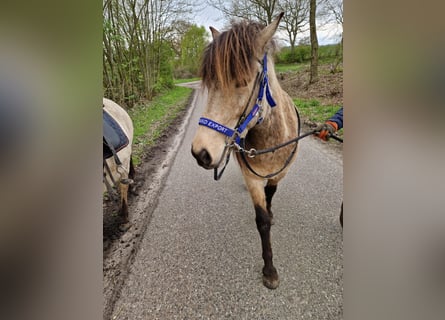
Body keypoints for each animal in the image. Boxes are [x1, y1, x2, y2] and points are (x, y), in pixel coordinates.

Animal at [190, 12, 298, 288]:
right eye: (210, 83)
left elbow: (271, 194)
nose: (200, 153)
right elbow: (261, 221)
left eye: (241, 83)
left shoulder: (279, 174)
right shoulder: (252, 178)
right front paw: (269, 270)